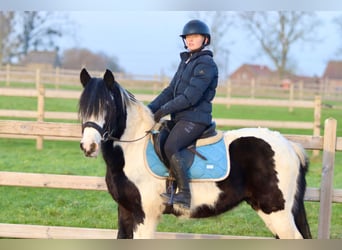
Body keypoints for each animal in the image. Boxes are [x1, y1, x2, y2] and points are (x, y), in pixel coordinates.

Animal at [78, 68, 312, 238]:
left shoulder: (146, 216)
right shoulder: (126, 212)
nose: (89, 147)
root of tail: (290, 146)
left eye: (108, 106)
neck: (132, 149)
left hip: (277, 212)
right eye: (82, 107)